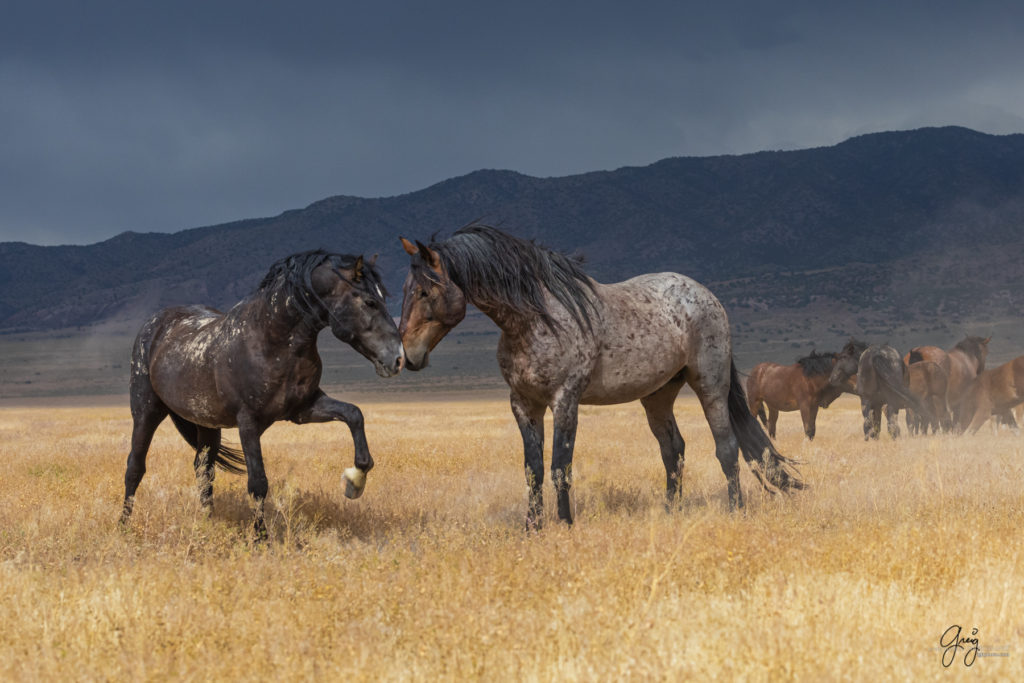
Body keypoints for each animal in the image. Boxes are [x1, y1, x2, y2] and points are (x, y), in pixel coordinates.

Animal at [118, 248, 403, 536]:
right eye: (370, 302)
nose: (398, 359)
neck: (271, 341)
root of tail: (155, 323)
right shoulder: (248, 422)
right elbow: (257, 483)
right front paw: (260, 537)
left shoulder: (304, 409)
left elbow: (354, 414)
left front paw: (355, 480)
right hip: (147, 412)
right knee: (135, 467)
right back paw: (123, 525)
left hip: (208, 424)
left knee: (203, 469)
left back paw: (208, 521)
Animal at [395, 227, 802, 532]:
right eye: (403, 289)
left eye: (426, 291)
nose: (407, 356)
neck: (534, 320)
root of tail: (708, 297)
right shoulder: (524, 404)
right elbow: (533, 470)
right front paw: (532, 528)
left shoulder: (565, 400)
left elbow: (560, 466)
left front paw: (564, 525)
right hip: (658, 396)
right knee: (673, 450)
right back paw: (670, 513)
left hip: (709, 385)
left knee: (726, 447)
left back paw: (736, 510)